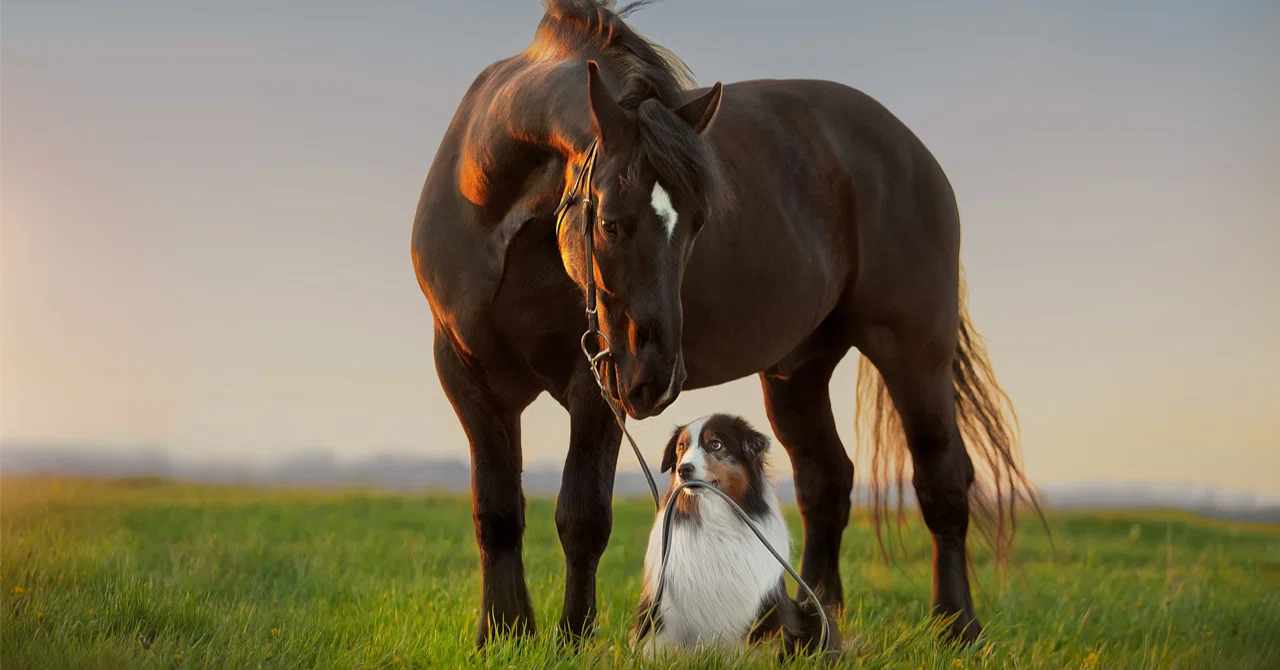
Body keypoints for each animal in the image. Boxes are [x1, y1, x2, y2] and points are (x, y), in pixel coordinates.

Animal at [411, 0, 1040, 648]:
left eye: (698, 222)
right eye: (609, 222)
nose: (656, 378)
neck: (495, 215)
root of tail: (910, 150)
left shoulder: (596, 382)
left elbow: (581, 514)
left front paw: (573, 636)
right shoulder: (467, 376)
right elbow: (497, 513)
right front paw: (502, 631)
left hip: (914, 348)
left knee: (942, 479)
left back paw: (958, 625)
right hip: (798, 368)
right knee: (825, 480)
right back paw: (816, 619)